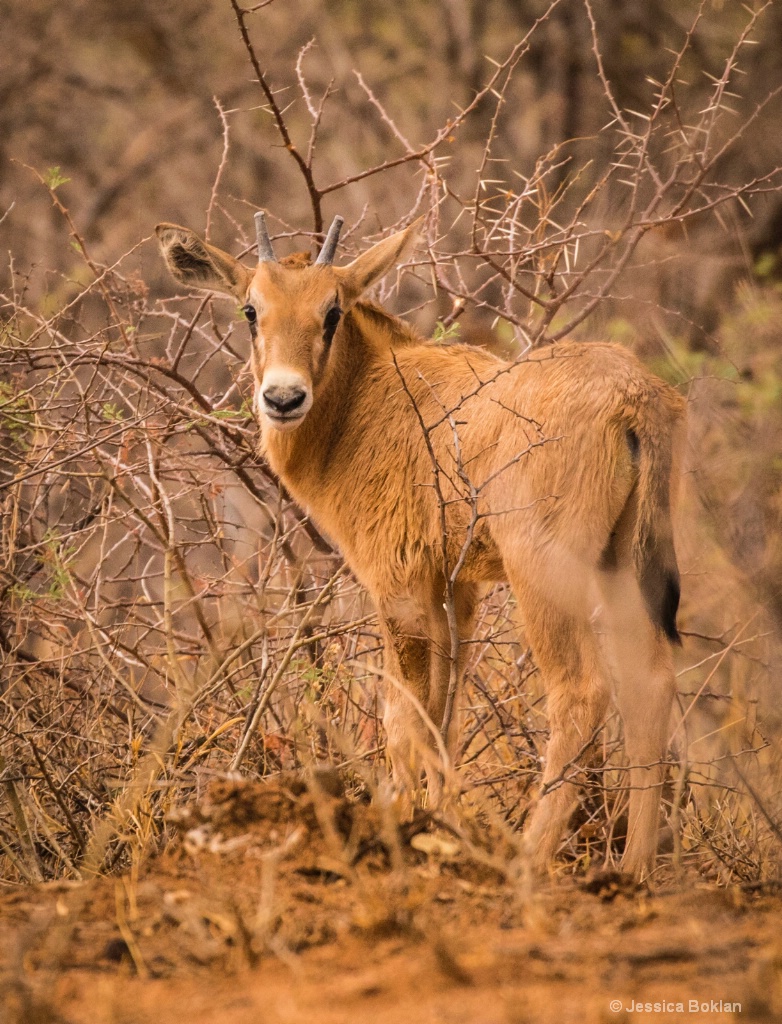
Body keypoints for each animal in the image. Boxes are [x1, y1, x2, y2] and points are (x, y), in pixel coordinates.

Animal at [157, 211, 683, 876]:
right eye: (251, 309)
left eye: (332, 310)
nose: (282, 398)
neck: (367, 395)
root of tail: (632, 399)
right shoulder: (457, 589)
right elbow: (442, 713)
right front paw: (439, 822)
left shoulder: (398, 584)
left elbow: (403, 715)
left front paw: (404, 827)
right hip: (623, 568)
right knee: (649, 684)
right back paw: (635, 868)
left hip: (544, 574)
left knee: (581, 693)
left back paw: (527, 861)